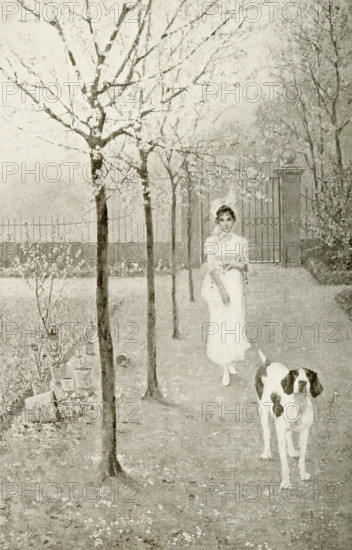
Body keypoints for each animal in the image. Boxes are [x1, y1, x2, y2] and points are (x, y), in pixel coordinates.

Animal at [254, 352, 324, 490]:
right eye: (296, 375)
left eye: (309, 375)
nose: (302, 382)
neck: (298, 404)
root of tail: (267, 363)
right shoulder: (280, 433)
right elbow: (284, 462)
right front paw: (286, 482)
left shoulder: (305, 432)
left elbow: (302, 457)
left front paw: (303, 474)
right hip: (263, 411)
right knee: (267, 433)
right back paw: (266, 452)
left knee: (289, 435)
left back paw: (291, 450)